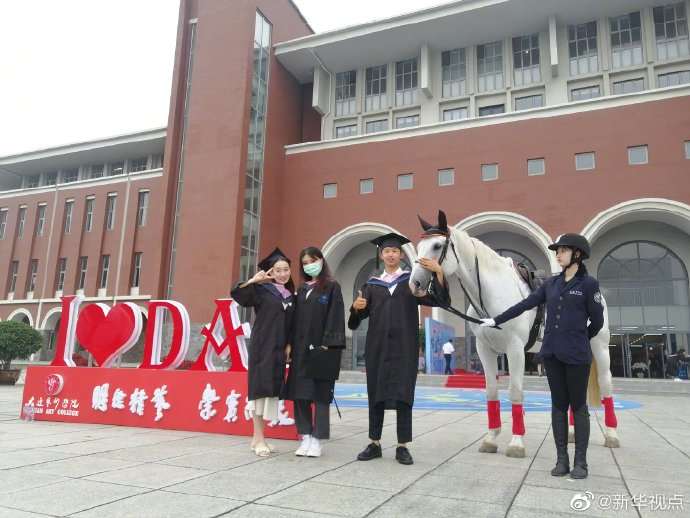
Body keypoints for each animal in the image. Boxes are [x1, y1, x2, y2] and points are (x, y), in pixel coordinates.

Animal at [406, 211, 620, 460]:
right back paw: (572, 432)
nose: (415, 284)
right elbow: (491, 391)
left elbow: (515, 392)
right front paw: (491, 439)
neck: (492, 294)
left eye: (437, 245)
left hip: (600, 347)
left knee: (606, 383)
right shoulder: (485, 349)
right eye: (419, 246)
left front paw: (517, 443)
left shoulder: (515, 349)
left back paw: (612, 435)